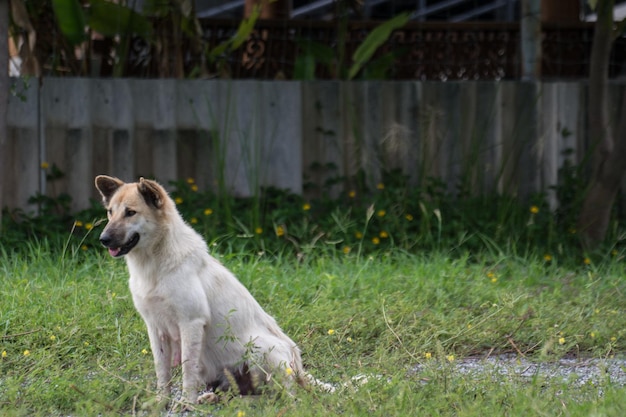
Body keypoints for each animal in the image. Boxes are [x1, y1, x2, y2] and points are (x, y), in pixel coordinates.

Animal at [93, 176, 308, 406]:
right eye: (110, 212)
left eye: (130, 212)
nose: (103, 239)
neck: (155, 265)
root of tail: (298, 365)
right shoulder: (156, 328)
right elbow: (162, 371)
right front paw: (161, 400)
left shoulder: (191, 323)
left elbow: (188, 368)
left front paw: (186, 402)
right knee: (239, 393)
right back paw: (212, 398)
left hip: (261, 349)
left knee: (280, 397)